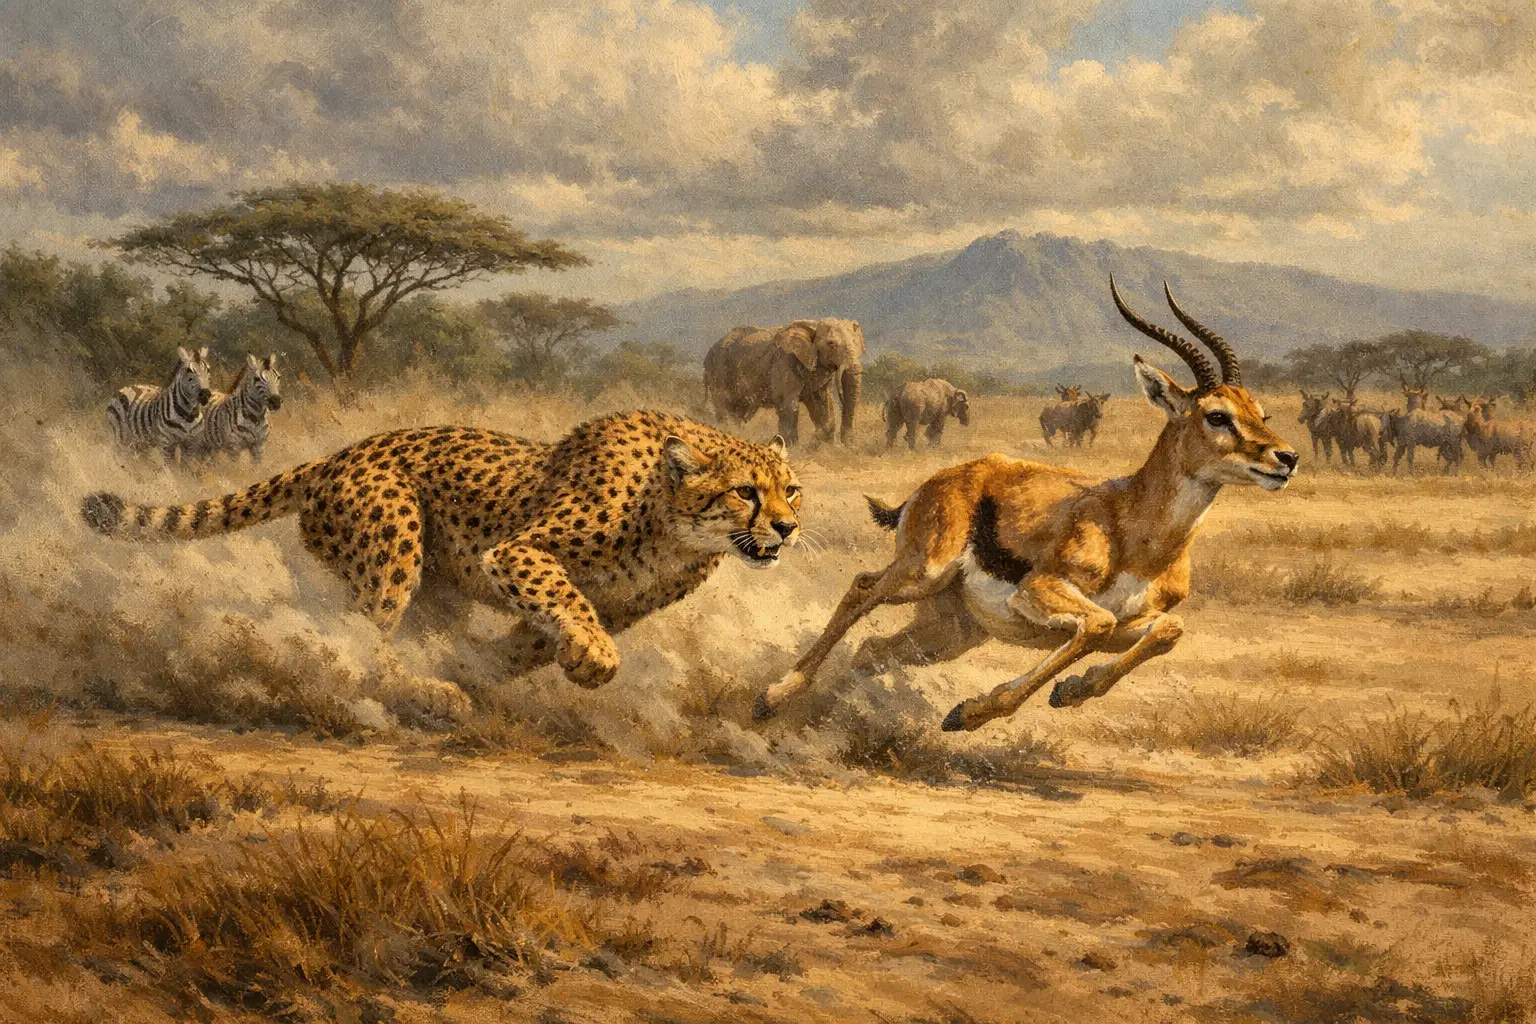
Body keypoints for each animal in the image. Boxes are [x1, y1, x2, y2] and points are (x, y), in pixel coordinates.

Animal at [81, 410, 803, 688]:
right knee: (363, 633)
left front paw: (478, 669)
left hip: (433, 584)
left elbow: (529, 642)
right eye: (746, 492)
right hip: (393, 545)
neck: (675, 525)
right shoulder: (520, 552)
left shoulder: (622, 604)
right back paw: (417, 693)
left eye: (792, 489)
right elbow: (566, 600)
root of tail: (342, 452)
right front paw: (592, 658)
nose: (789, 529)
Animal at [755, 278, 1298, 728]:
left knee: (870, 649)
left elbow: (1169, 630)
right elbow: (1096, 624)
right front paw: (970, 713)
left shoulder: (1132, 623)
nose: (1287, 458)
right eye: (1216, 415)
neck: (1136, 531)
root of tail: (940, 479)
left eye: (1261, 413)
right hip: (922, 572)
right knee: (861, 588)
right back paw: (773, 697)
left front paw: (1069, 691)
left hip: (952, 631)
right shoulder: (1041, 591)